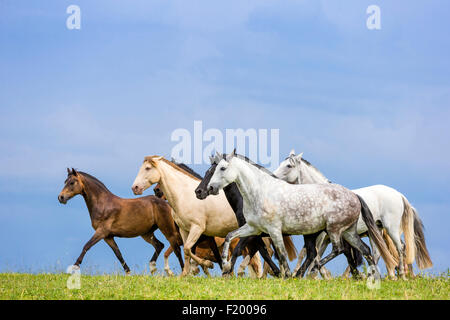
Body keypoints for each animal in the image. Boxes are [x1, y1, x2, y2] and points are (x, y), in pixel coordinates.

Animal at [130, 155, 262, 276]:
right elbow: (187, 252)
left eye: (147, 168)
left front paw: (207, 264)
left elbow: (189, 249)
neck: (184, 195)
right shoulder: (184, 230)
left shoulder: (197, 228)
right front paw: (185, 274)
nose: (135, 188)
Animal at [202, 150, 396, 278]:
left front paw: (286, 275)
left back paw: (312, 270)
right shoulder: (253, 229)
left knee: (338, 250)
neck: (259, 192)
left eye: (222, 168)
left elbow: (280, 254)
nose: (206, 189)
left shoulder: (273, 230)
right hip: (348, 232)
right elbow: (230, 237)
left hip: (333, 230)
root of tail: (354, 196)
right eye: (213, 169)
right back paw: (372, 279)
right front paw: (225, 264)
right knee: (365, 250)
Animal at [274, 149, 432, 278]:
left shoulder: (323, 235)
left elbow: (315, 255)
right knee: (378, 252)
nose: (273, 176)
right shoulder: (325, 237)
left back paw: (402, 275)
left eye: (289, 166)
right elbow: (317, 255)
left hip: (390, 229)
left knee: (400, 248)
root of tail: (399, 195)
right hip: (377, 230)